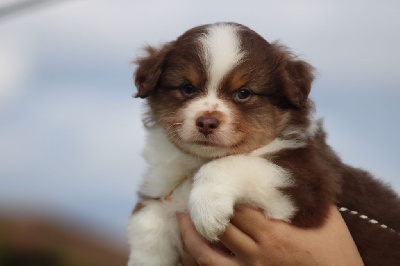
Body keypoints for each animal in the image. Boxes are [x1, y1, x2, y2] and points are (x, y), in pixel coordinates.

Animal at [127, 22, 400, 266]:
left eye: (243, 93)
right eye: (187, 88)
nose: (206, 122)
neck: (199, 159)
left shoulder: (308, 186)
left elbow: (234, 164)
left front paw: (207, 209)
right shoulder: (162, 188)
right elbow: (147, 223)